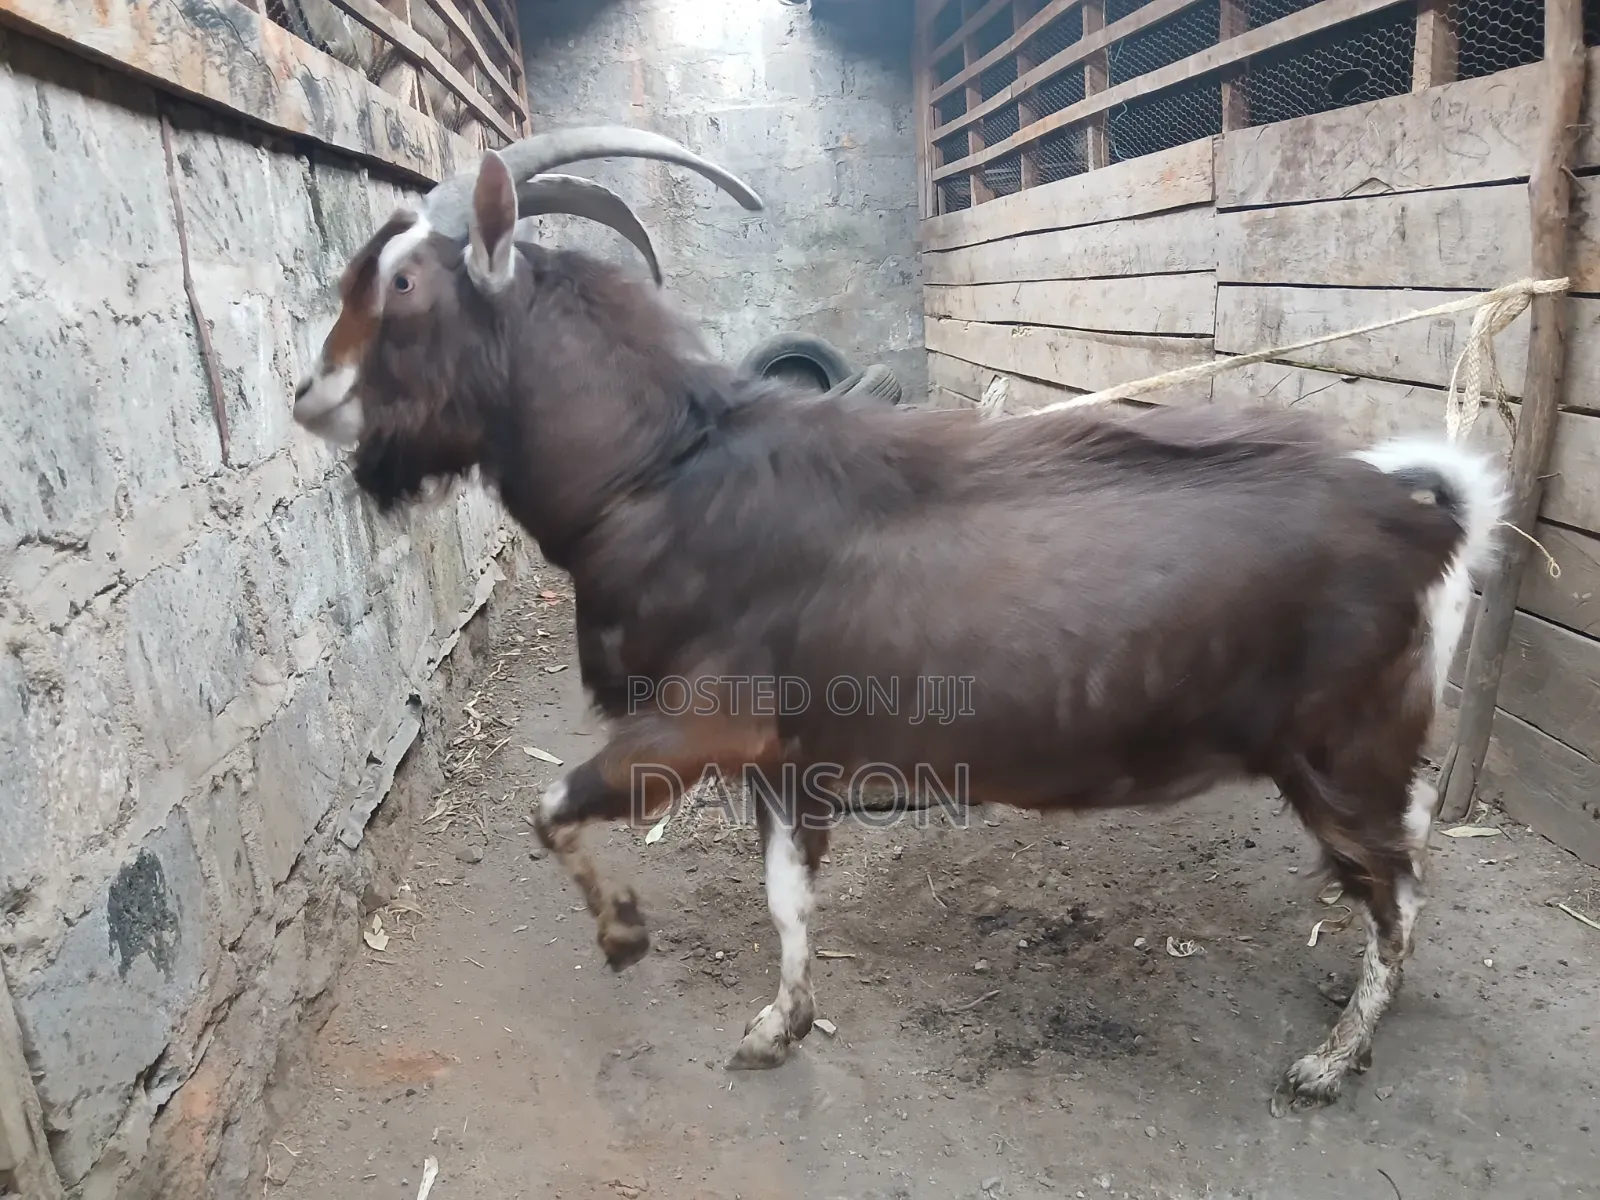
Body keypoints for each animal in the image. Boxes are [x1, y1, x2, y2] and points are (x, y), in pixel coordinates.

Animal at [290, 128, 1507, 1111]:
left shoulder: (704, 720)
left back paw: (1335, 1060)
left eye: (404, 279)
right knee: (1399, 863)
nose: (308, 397)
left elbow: (549, 808)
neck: (660, 473)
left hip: (1345, 744)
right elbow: (787, 896)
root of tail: (1422, 512)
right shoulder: (786, 754)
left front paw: (627, 937)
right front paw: (776, 1029)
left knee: (1400, 886)